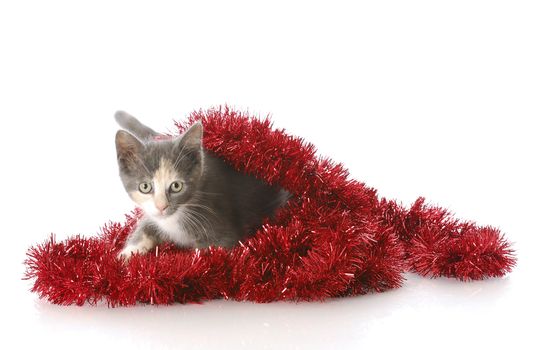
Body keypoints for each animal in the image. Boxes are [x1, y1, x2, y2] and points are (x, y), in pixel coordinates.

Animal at [115, 112, 288, 260]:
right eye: (145, 187)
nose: (161, 207)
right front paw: (126, 254)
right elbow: (144, 227)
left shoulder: (220, 229)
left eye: (176, 186)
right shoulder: (153, 216)